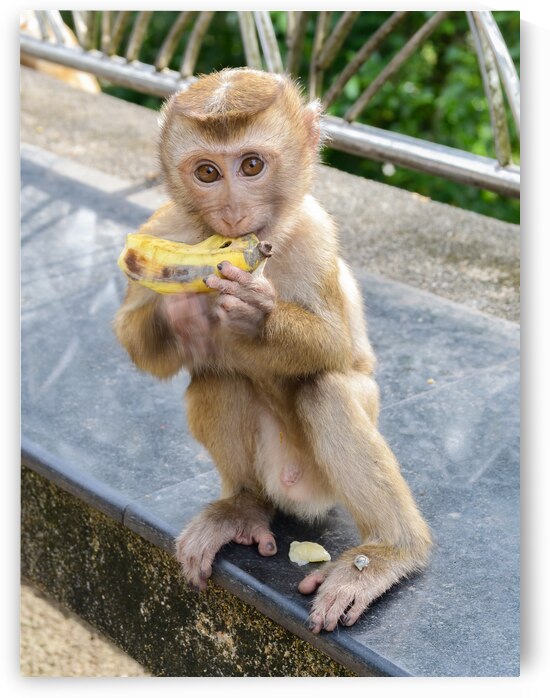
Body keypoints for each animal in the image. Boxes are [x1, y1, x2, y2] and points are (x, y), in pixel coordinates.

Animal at [113, 68, 432, 633]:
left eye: (252, 165)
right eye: (207, 172)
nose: (233, 212)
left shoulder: (315, 234)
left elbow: (335, 345)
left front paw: (257, 313)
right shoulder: (164, 229)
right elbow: (136, 339)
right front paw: (181, 316)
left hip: (318, 482)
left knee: (325, 388)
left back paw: (388, 553)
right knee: (216, 377)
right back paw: (243, 508)